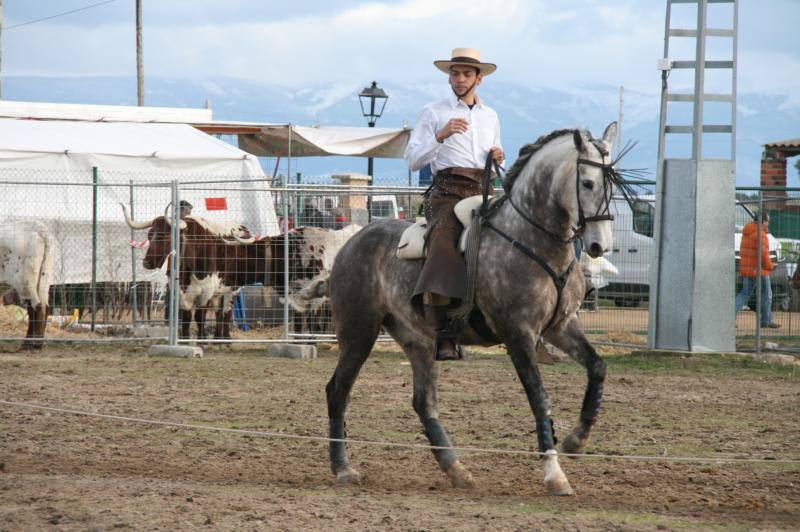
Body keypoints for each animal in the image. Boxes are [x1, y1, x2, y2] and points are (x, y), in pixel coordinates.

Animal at [324, 122, 620, 492]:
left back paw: (457, 470)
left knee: (424, 403)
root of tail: (350, 242)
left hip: (417, 340)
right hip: (359, 332)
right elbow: (539, 396)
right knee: (338, 391)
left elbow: (597, 366)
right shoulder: (518, 334)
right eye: (587, 183)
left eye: (613, 184)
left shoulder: (561, 327)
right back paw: (342, 468)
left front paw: (576, 441)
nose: (599, 244)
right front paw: (554, 474)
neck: (531, 240)